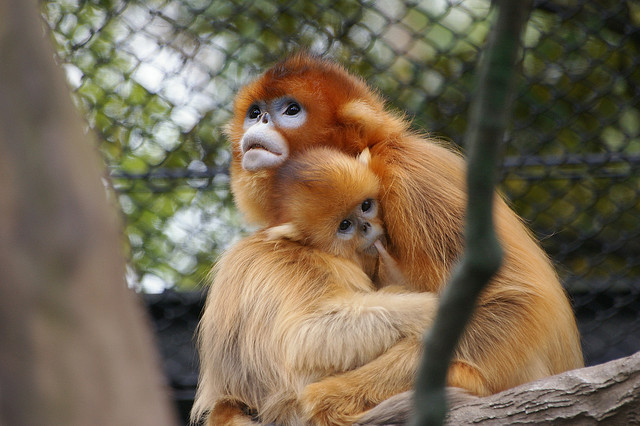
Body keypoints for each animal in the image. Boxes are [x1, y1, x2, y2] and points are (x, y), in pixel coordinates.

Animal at [191, 146, 439, 425]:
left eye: (366, 206)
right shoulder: (299, 267)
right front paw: (432, 307)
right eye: (345, 225)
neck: (306, 247)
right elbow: (306, 336)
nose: (366, 226)